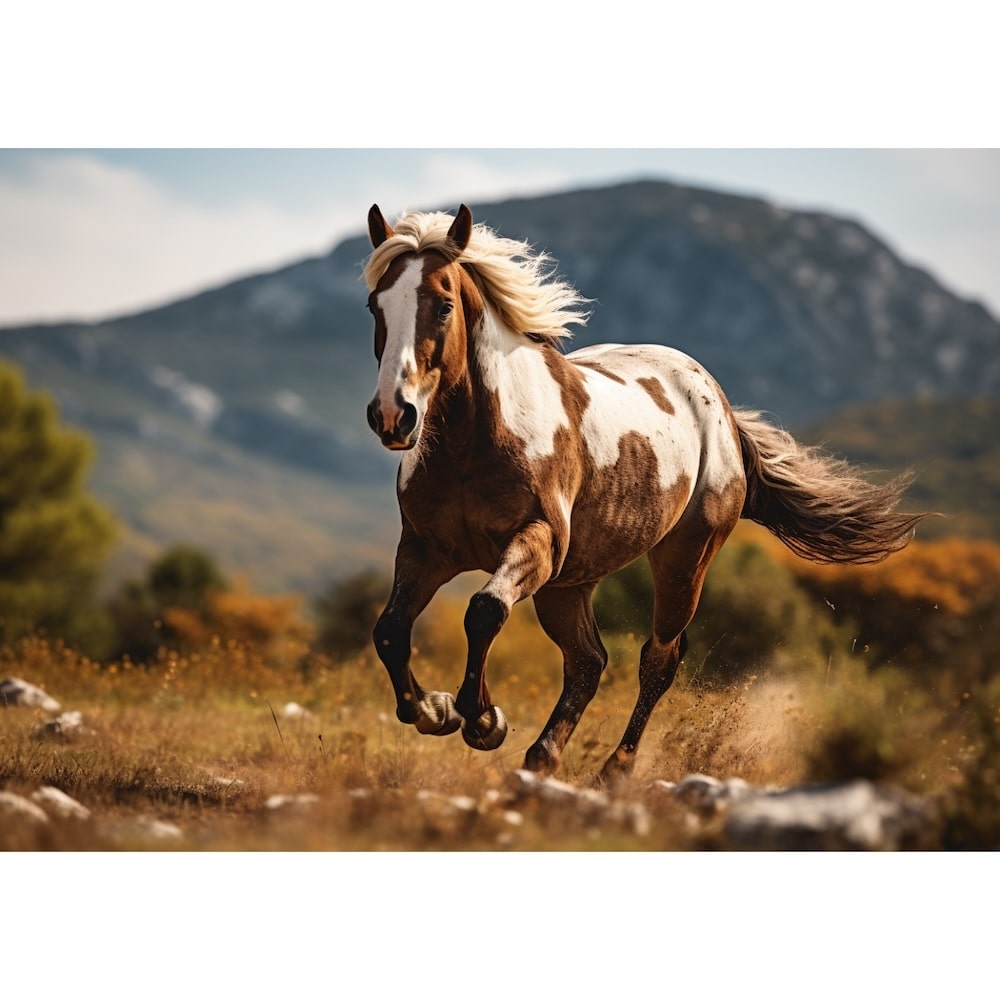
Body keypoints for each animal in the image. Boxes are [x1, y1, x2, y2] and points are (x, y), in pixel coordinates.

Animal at [362, 202, 929, 785]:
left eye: (444, 304)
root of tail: (721, 408)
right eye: (374, 304)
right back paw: (542, 758)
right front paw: (436, 710)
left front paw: (481, 721)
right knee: (588, 662)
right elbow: (390, 629)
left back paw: (614, 770)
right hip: (569, 582)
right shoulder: (426, 549)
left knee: (658, 659)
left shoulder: (538, 543)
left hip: (681, 560)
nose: (393, 415)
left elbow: (484, 610)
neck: (475, 442)